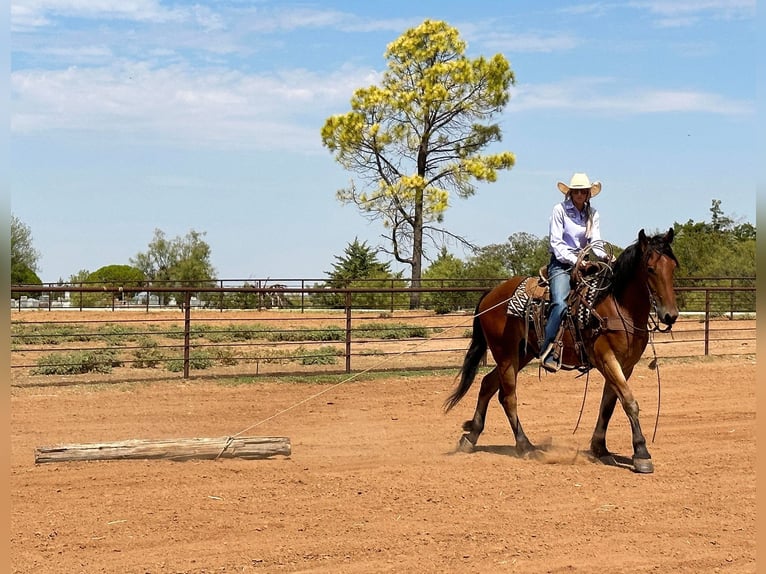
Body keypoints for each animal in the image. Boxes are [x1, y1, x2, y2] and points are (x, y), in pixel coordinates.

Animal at [448, 227, 680, 474]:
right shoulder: (606, 358)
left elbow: (608, 404)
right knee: (508, 396)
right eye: (650, 269)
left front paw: (600, 448)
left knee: (487, 385)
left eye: (673, 267)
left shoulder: (626, 365)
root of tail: (490, 295)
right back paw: (525, 446)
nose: (670, 315)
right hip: (505, 354)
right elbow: (629, 402)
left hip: (521, 353)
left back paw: (471, 437)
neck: (618, 306)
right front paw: (641, 453)